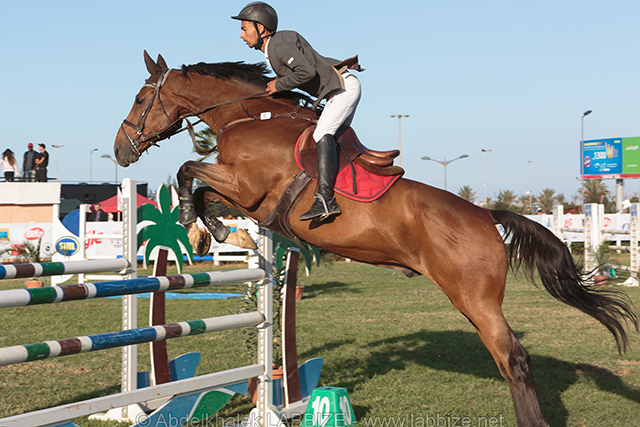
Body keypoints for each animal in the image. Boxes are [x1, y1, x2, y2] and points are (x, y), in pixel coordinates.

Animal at [114, 52, 637, 427]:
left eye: (140, 99)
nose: (120, 151)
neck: (250, 117)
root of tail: (487, 217)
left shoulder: (250, 189)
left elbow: (190, 172)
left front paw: (204, 225)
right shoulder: (246, 197)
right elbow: (204, 188)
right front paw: (211, 230)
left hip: (474, 298)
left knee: (514, 359)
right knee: (509, 360)